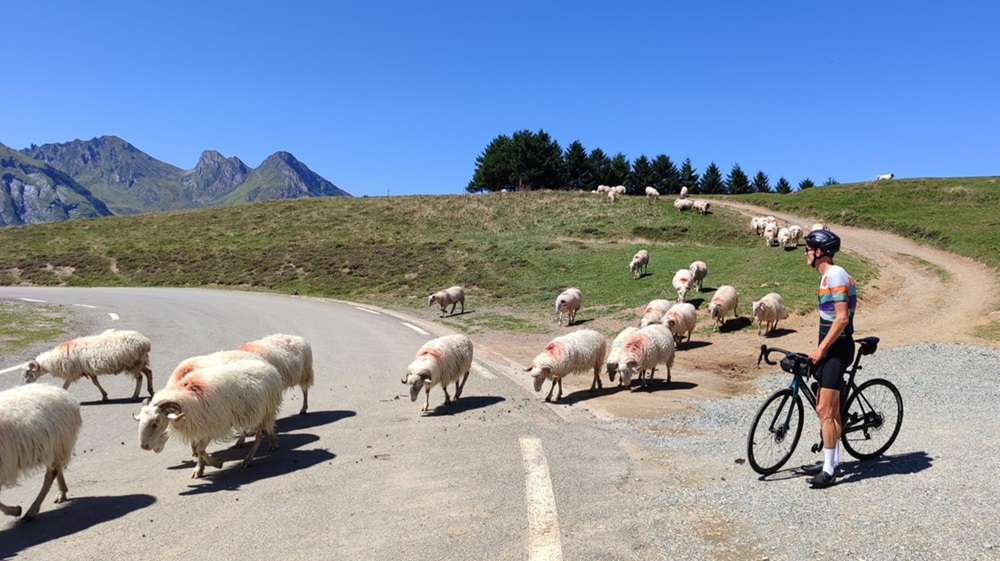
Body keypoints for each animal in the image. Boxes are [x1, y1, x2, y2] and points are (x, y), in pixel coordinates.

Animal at [0, 382, 82, 520]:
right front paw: (14, 510)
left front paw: (15, 510)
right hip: (55, 447)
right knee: (58, 468)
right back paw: (62, 492)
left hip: (58, 442)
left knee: (51, 474)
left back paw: (32, 511)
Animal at [23, 328, 154, 402]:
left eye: (28, 372)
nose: (25, 384)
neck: (53, 360)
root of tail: (145, 341)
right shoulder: (88, 371)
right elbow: (95, 383)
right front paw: (104, 396)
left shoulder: (73, 373)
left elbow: (65, 386)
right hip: (140, 362)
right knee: (149, 372)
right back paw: (151, 391)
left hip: (133, 363)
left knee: (140, 378)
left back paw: (134, 396)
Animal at [133, 356, 282, 480]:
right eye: (140, 421)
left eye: (157, 421)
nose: (144, 446)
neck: (187, 397)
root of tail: (270, 368)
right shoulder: (200, 426)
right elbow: (199, 450)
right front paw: (199, 469)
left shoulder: (214, 426)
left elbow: (200, 449)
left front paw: (216, 463)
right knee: (267, 427)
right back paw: (273, 442)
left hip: (264, 411)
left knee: (259, 436)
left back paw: (248, 459)